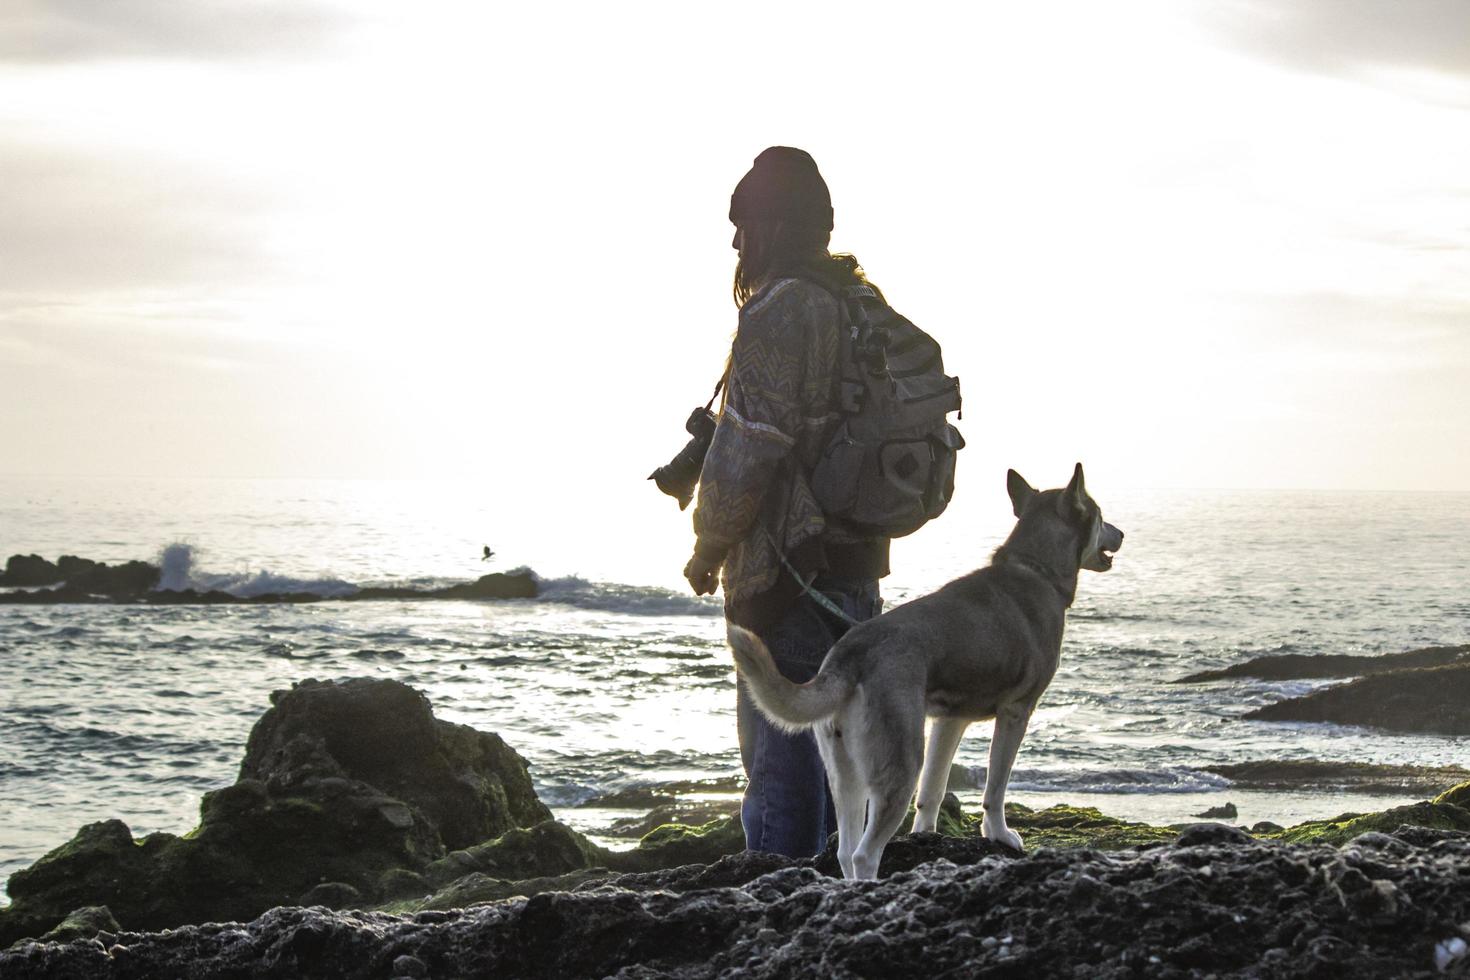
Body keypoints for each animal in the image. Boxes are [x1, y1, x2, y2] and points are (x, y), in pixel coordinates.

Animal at [726, 467, 1123, 881]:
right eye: (1100, 516)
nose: (1122, 534)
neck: (1035, 568)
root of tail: (848, 656)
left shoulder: (951, 720)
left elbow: (932, 791)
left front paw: (927, 836)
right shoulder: (1017, 711)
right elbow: (995, 788)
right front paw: (999, 833)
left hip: (845, 772)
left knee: (845, 850)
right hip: (899, 765)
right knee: (864, 854)